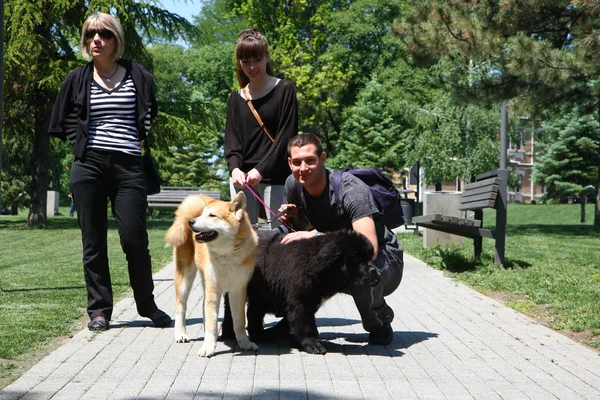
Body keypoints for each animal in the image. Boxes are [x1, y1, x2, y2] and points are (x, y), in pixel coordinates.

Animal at [166, 192, 258, 358]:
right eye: (204, 214)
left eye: (212, 215)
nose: (191, 222)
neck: (227, 254)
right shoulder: (214, 289)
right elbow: (212, 324)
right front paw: (208, 347)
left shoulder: (238, 290)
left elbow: (239, 322)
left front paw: (245, 343)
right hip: (185, 280)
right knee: (181, 308)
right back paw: (181, 334)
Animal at [223, 230, 378, 354]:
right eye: (357, 259)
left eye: (370, 257)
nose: (375, 271)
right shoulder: (300, 302)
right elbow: (305, 324)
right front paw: (313, 345)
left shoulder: (310, 302)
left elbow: (297, 322)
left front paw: (295, 341)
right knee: (231, 313)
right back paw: (229, 334)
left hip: (261, 295)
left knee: (254, 313)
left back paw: (260, 336)